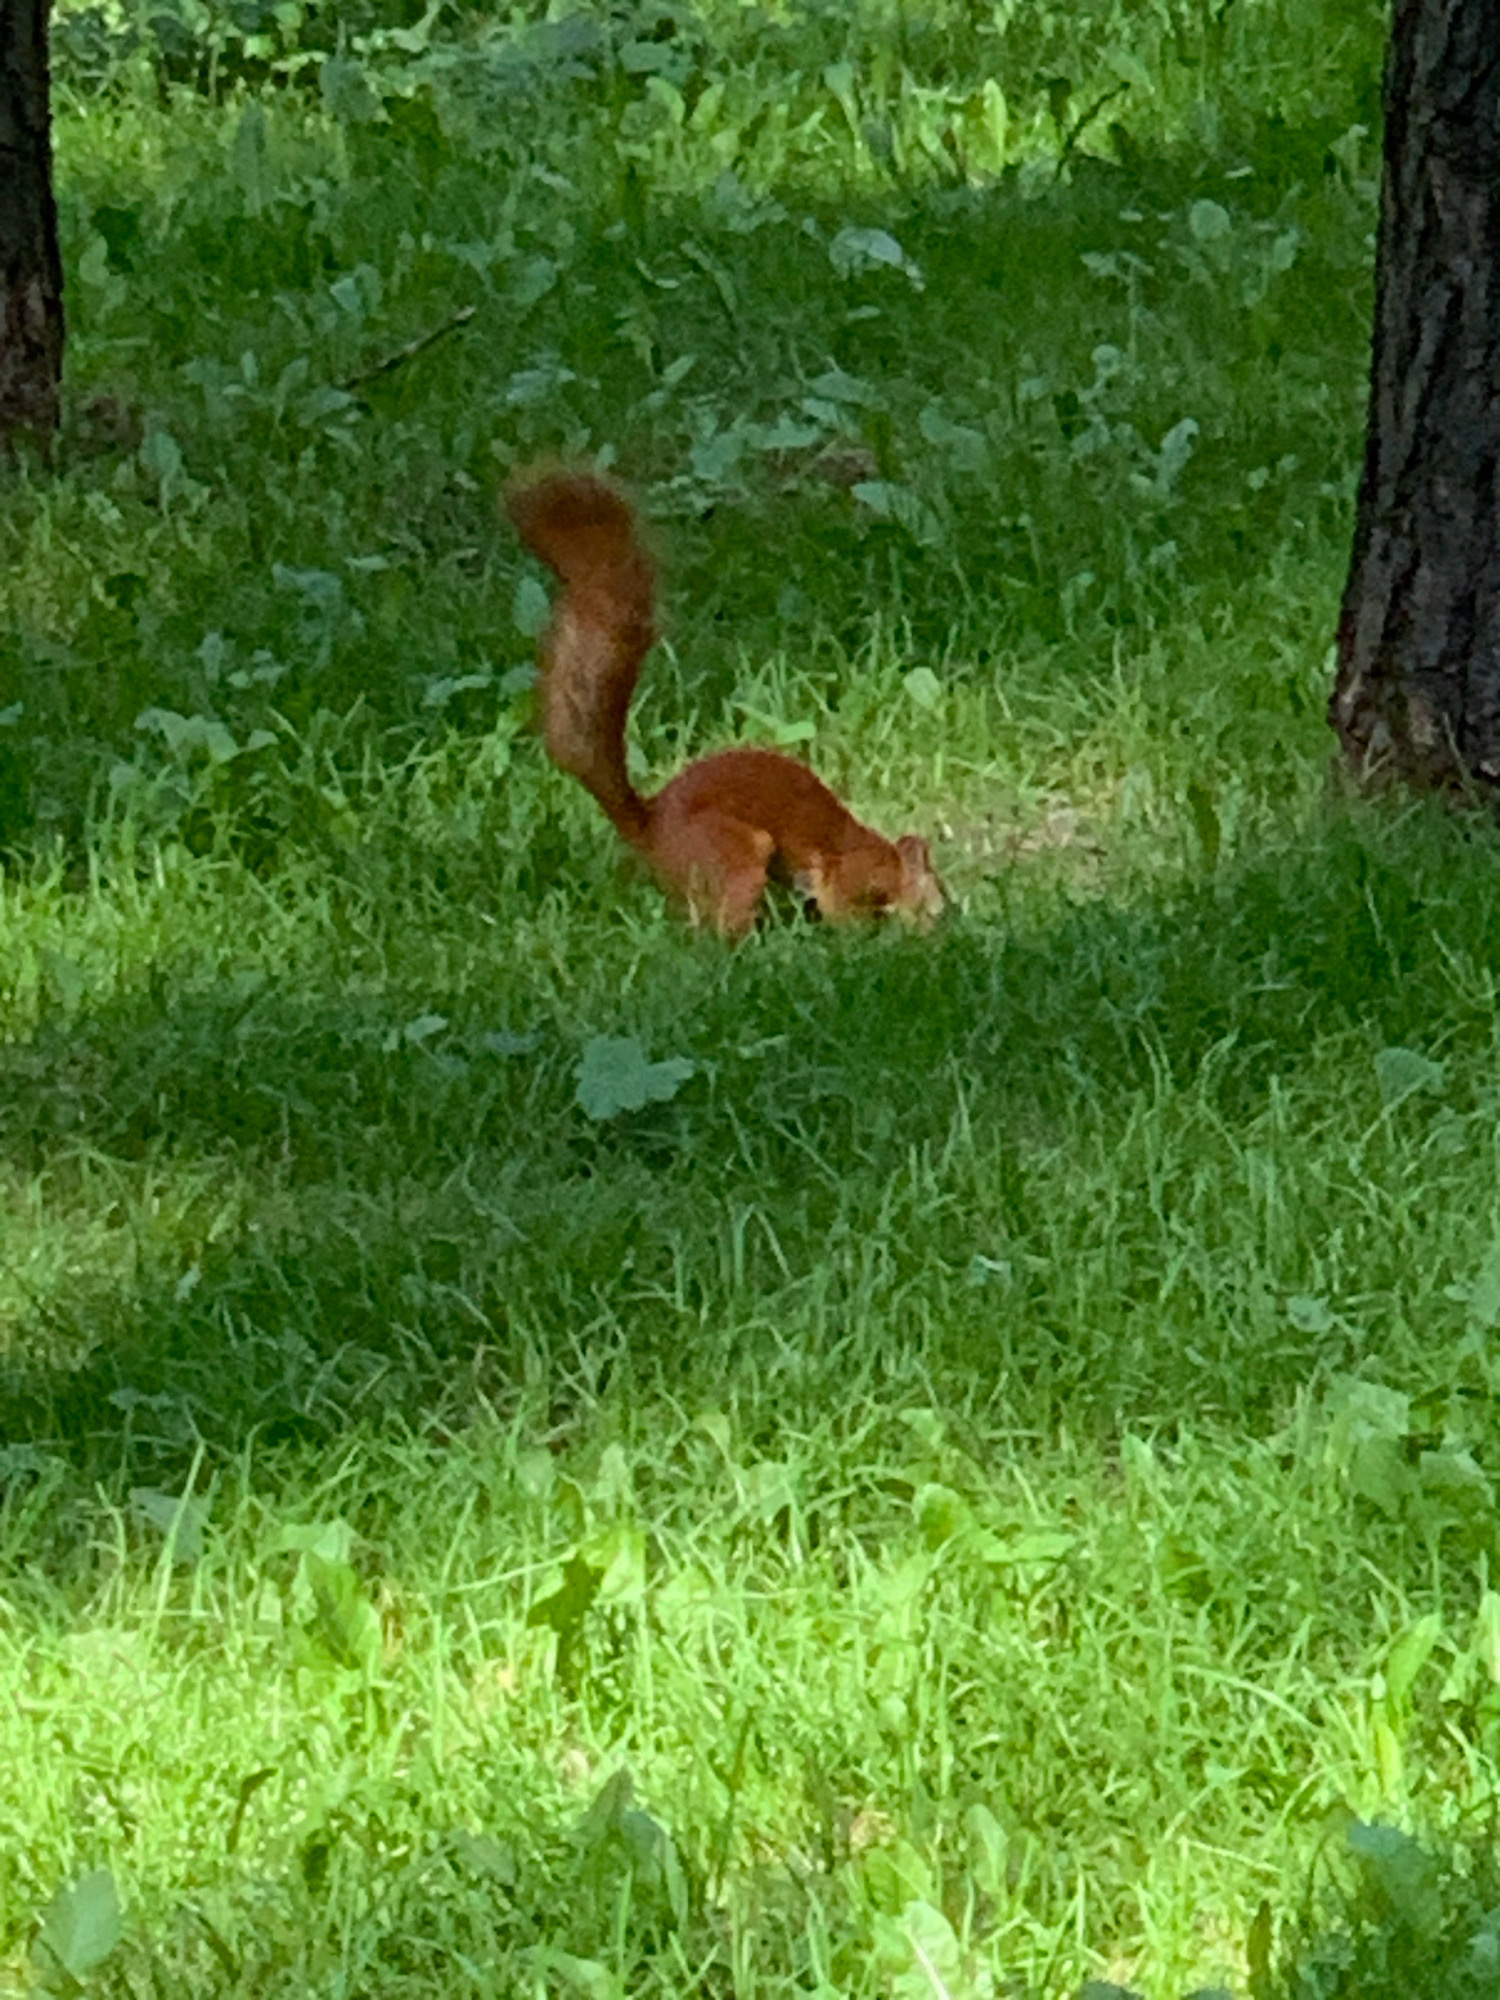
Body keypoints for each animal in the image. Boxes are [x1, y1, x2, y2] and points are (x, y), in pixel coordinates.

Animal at [505, 466, 944, 937]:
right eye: (935, 901)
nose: (943, 923)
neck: (889, 862)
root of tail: (651, 832)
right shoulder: (848, 875)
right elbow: (840, 905)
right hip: (736, 853)